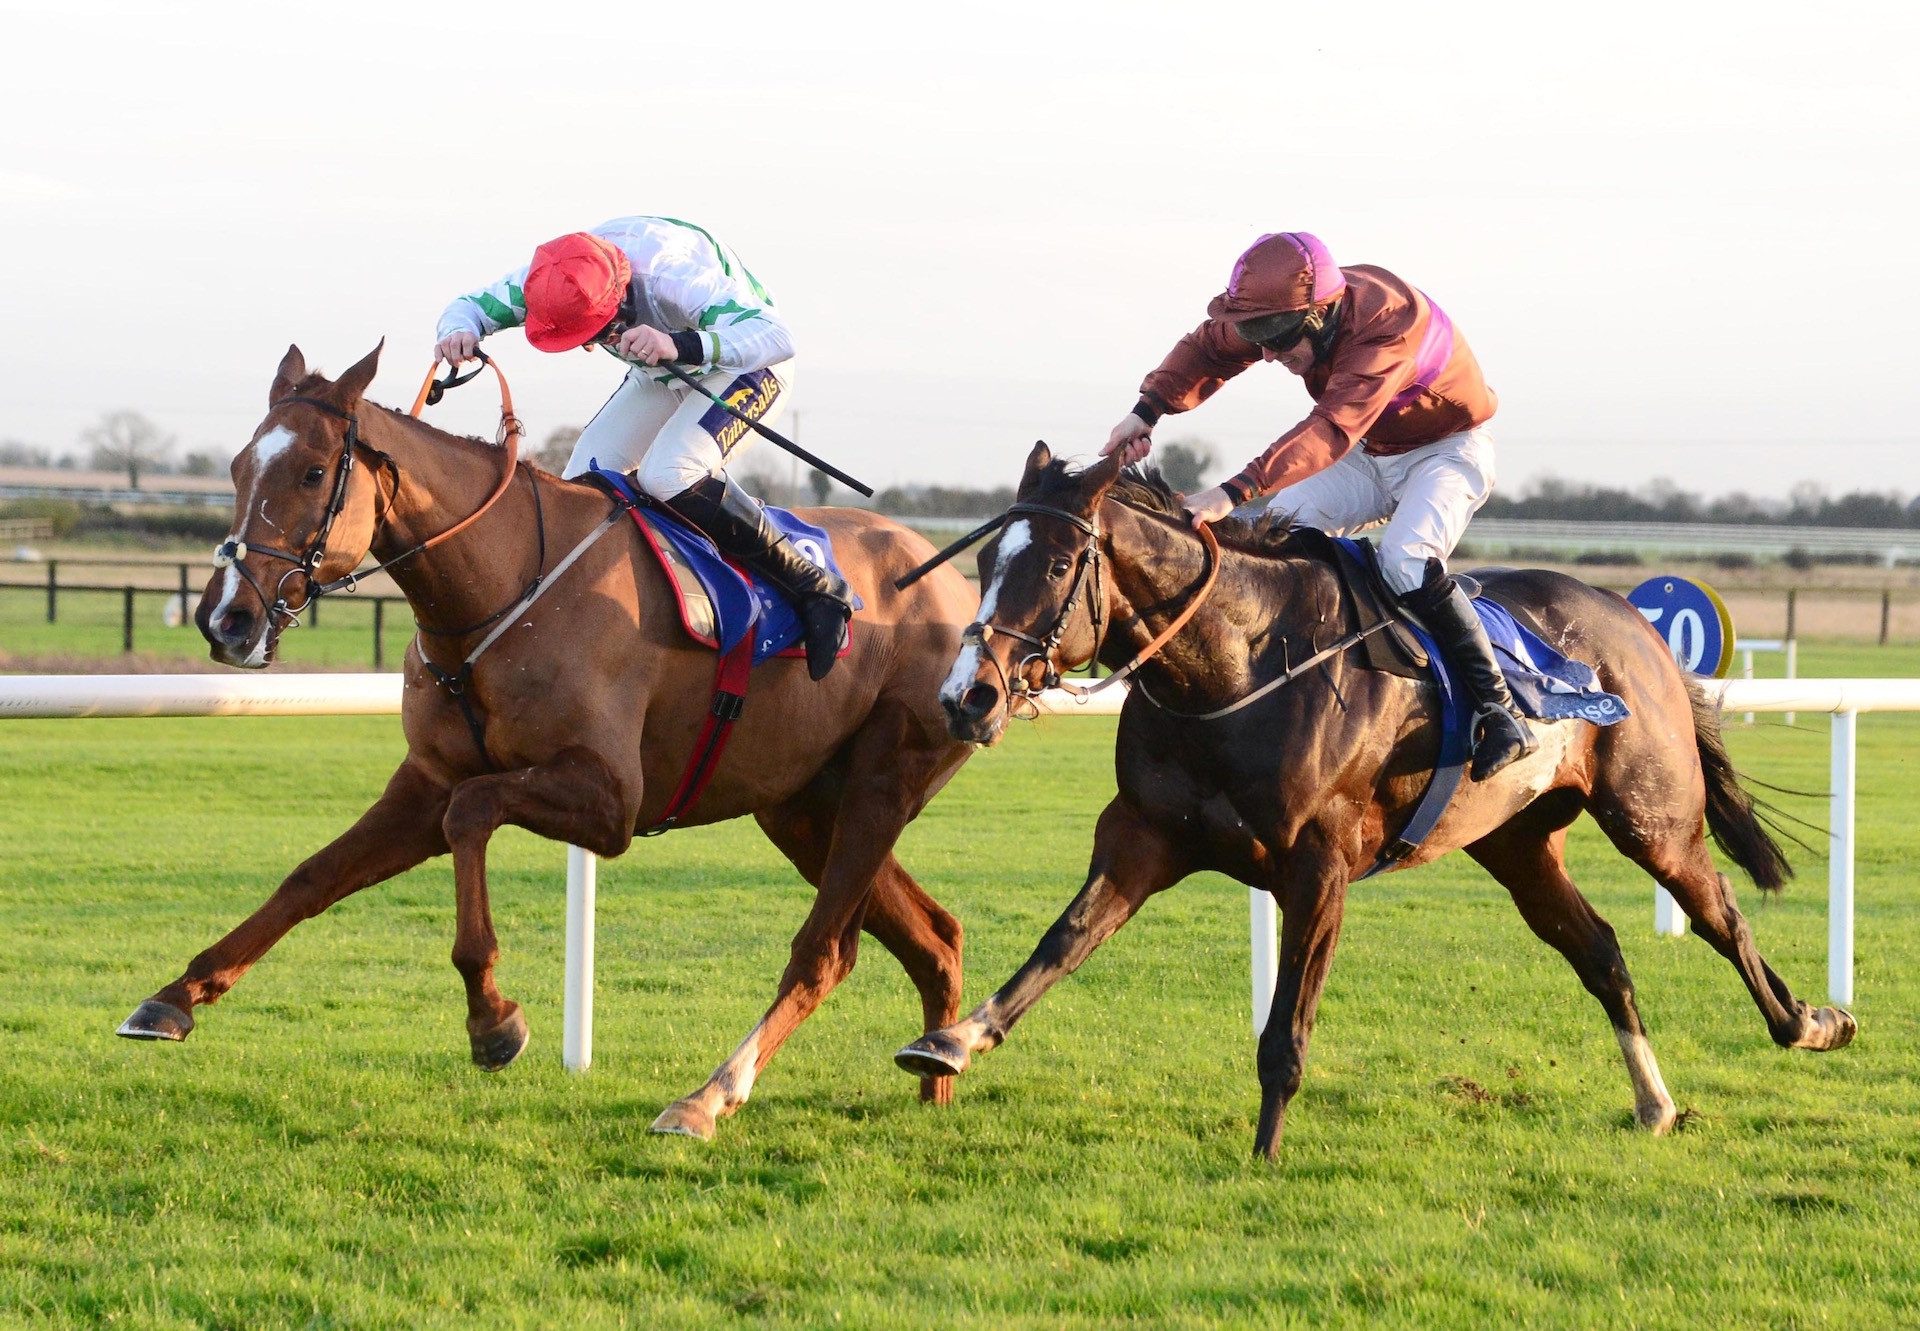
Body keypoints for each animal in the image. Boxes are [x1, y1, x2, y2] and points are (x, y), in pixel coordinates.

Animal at [118, 338, 983, 1137]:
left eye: (309, 472)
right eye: (237, 468)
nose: (226, 619)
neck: (500, 585)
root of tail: (954, 582)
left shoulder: (610, 800)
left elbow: (470, 813)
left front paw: (492, 1018)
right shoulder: (426, 777)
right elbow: (312, 875)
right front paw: (172, 997)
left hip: (883, 778)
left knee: (825, 951)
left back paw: (707, 1096)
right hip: (803, 805)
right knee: (935, 936)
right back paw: (935, 1073)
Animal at [890, 443, 1850, 1152]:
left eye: (1056, 563)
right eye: (988, 558)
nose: (967, 696)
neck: (1240, 663)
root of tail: (1636, 623)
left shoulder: (1318, 868)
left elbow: (1286, 1032)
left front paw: (1265, 1155)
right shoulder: (1144, 837)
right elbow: (1060, 943)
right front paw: (951, 1040)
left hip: (1654, 818)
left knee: (1722, 913)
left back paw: (1811, 1021)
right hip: (1517, 842)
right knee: (1601, 950)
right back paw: (1655, 1101)